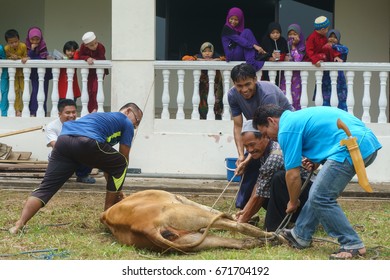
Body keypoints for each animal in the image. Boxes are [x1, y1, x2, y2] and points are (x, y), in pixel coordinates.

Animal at [99, 190, 278, 252]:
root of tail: (145, 227)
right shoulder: (183, 199)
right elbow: (217, 211)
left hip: (191, 238)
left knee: (237, 243)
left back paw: (265, 241)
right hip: (190, 213)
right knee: (239, 226)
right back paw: (274, 235)